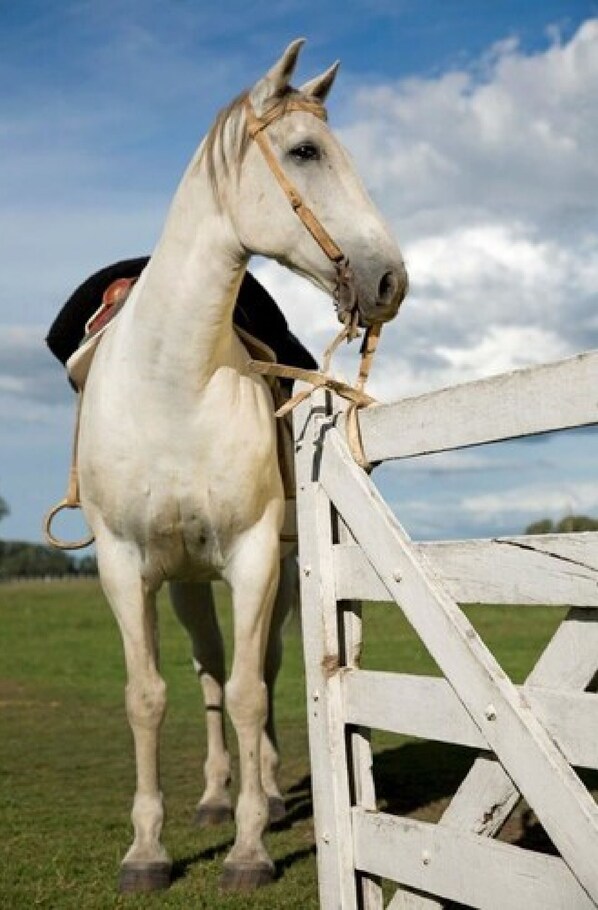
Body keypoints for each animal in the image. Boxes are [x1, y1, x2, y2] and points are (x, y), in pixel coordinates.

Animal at [76, 38, 407, 892]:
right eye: (305, 151)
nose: (391, 279)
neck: (173, 382)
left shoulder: (256, 555)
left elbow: (256, 693)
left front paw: (254, 847)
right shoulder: (123, 564)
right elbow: (149, 696)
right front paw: (148, 850)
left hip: (271, 574)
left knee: (257, 668)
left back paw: (265, 793)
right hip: (186, 582)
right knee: (207, 672)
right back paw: (218, 795)